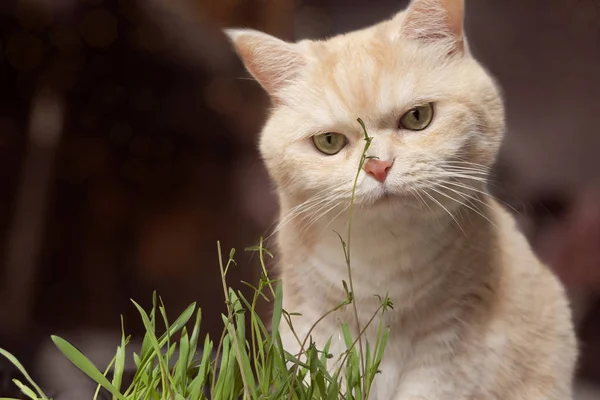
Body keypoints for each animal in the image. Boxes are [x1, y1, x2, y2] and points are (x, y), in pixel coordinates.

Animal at [224, 0, 576, 400]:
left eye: (418, 117)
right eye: (329, 142)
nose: (378, 166)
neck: (383, 253)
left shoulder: (449, 341)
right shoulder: (316, 329)